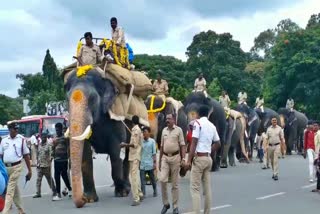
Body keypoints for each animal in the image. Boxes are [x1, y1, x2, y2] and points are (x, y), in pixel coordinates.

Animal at [64, 70, 134, 207]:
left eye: (92, 99)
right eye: (67, 99)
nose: (82, 200)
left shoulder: (115, 117)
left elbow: (116, 151)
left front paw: (121, 193)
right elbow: (85, 155)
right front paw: (90, 199)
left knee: (128, 155)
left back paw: (127, 189)